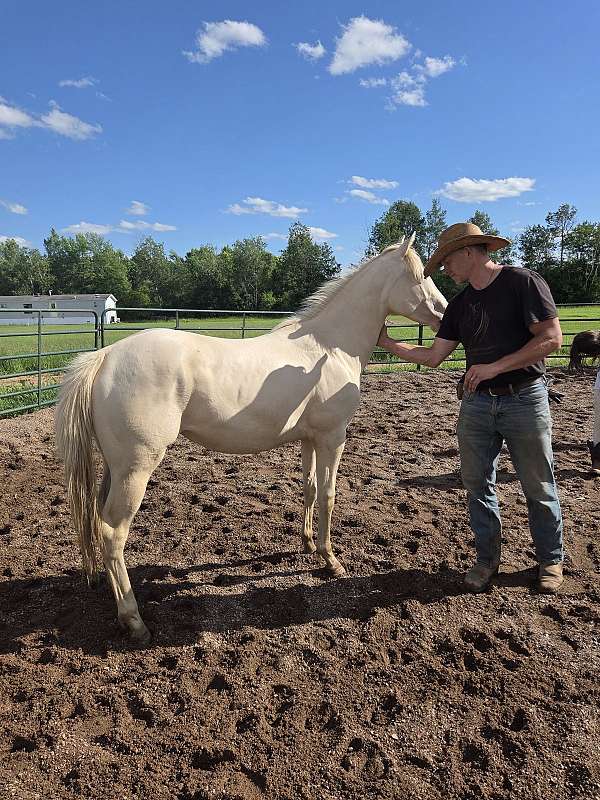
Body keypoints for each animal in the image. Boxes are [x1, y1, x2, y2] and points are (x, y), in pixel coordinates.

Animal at [55, 233, 447, 644]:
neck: (329, 347)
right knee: (113, 532)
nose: (445, 312)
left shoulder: (309, 439)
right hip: (135, 469)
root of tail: (104, 357)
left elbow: (308, 489)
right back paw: (134, 621)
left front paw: (307, 544)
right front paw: (330, 560)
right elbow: (328, 494)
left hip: (114, 468)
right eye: (420, 276)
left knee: (97, 521)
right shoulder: (332, 438)